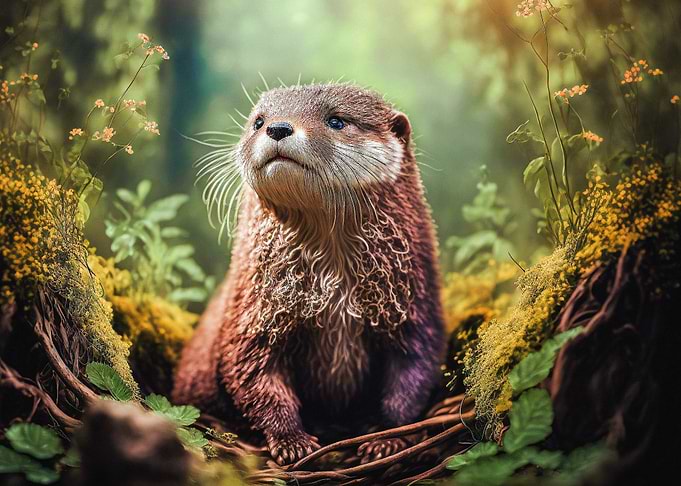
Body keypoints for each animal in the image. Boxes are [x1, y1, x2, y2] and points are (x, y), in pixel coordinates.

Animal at [172, 83, 445, 465]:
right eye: (258, 121)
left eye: (337, 120)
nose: (277, 128)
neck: (333, 300)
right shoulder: (252, 316)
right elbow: (252, 373)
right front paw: (291, 441)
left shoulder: (414, 307)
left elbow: (413, 372)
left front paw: (385, 438)